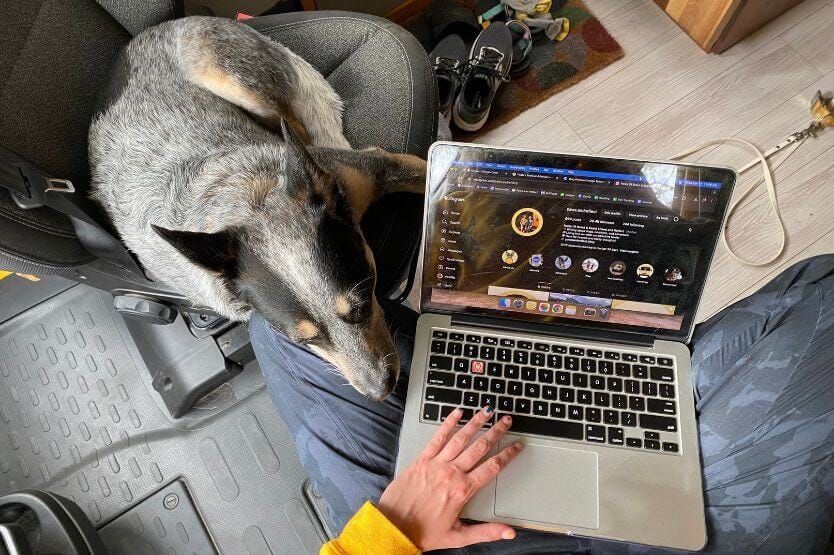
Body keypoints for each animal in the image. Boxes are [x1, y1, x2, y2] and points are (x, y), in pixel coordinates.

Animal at [89, 17, 428, 400]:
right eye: (305, 341)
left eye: (360, 307)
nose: (379, 391)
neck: (250, 198)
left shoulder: (376, 167)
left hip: (236, 81)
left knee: (292, 124)